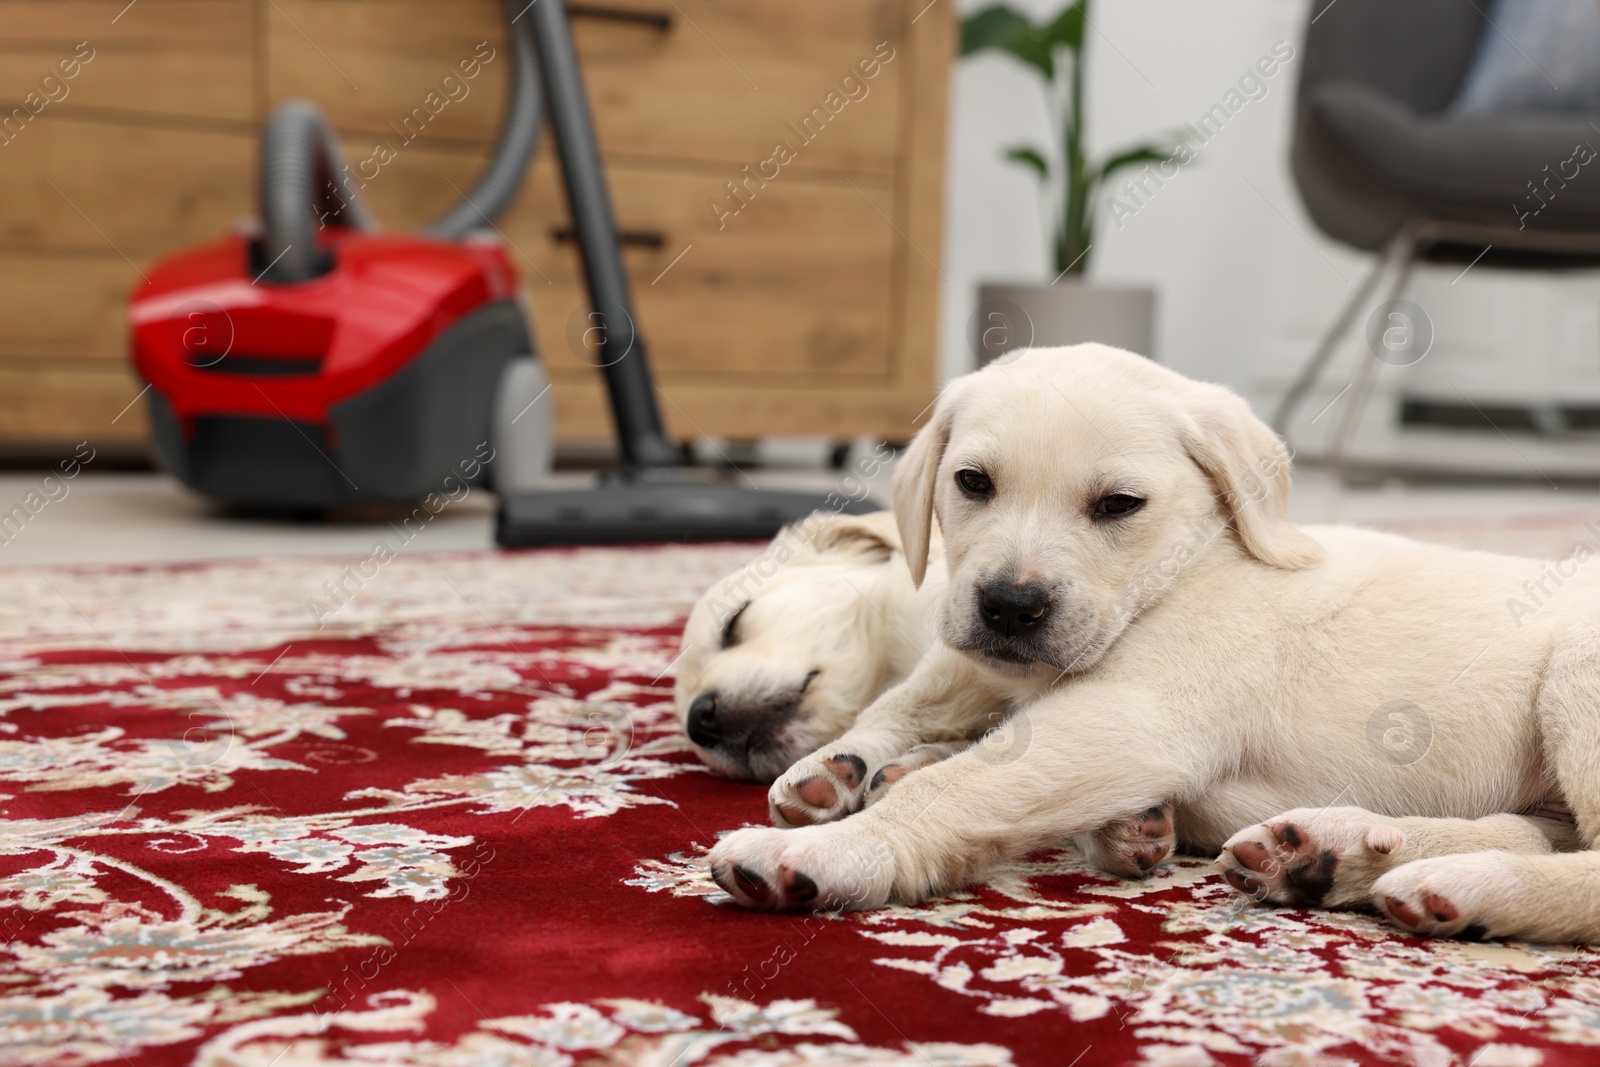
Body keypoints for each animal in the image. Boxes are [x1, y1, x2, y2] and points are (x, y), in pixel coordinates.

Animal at [707, 343, 1600, 940]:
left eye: (1119, 504)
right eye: (971, 483)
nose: (1008, 606)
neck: (1177, 573)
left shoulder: (1129, 717)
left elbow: (953, 788)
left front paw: (834, 849)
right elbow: (922, 711)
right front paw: (840, 769)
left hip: (1576, 679)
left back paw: (1467, 883)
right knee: (1532, 827)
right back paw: (1329, 854)